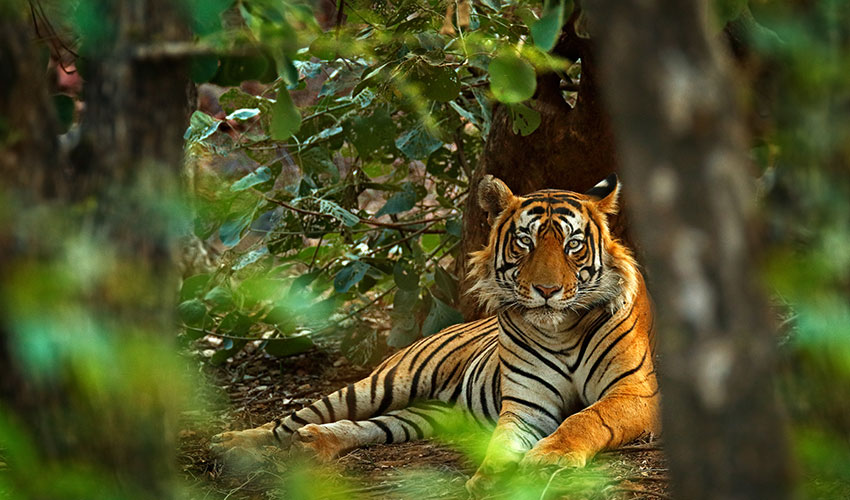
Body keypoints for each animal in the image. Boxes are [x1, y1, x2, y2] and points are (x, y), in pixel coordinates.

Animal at [210, 174, 656, 494]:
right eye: (524, 243)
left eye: (573, 245)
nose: (546, 290)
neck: (561, 330)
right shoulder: (527, 405)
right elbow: (503, 441)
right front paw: (491, 478)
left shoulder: (636, 392)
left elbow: (587, 417)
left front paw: (551, 458)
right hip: (384, 383)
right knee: (292, 419)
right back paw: (232, 442)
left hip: (427, 414)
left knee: (372, 426)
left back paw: (314, 443)